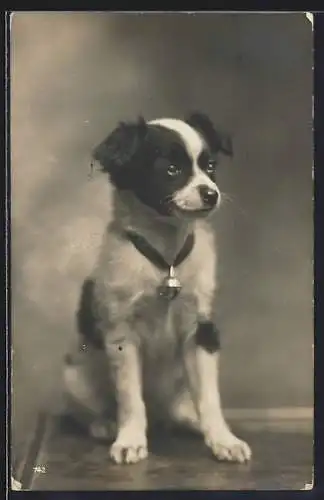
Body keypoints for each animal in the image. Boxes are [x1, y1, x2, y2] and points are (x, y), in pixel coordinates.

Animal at [62, 112, 251, 464]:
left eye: (210, 166)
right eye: (171, 170)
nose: (211, 193)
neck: (166, 258)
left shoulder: (201, 332)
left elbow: (210, 398)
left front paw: (222, 439)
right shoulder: (122, 336)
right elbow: (130, 399)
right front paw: (130, 440)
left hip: (178, 390)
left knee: (184, 409)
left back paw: (191, 422)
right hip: (75, 380)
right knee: (88, 412)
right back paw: (105, 424)